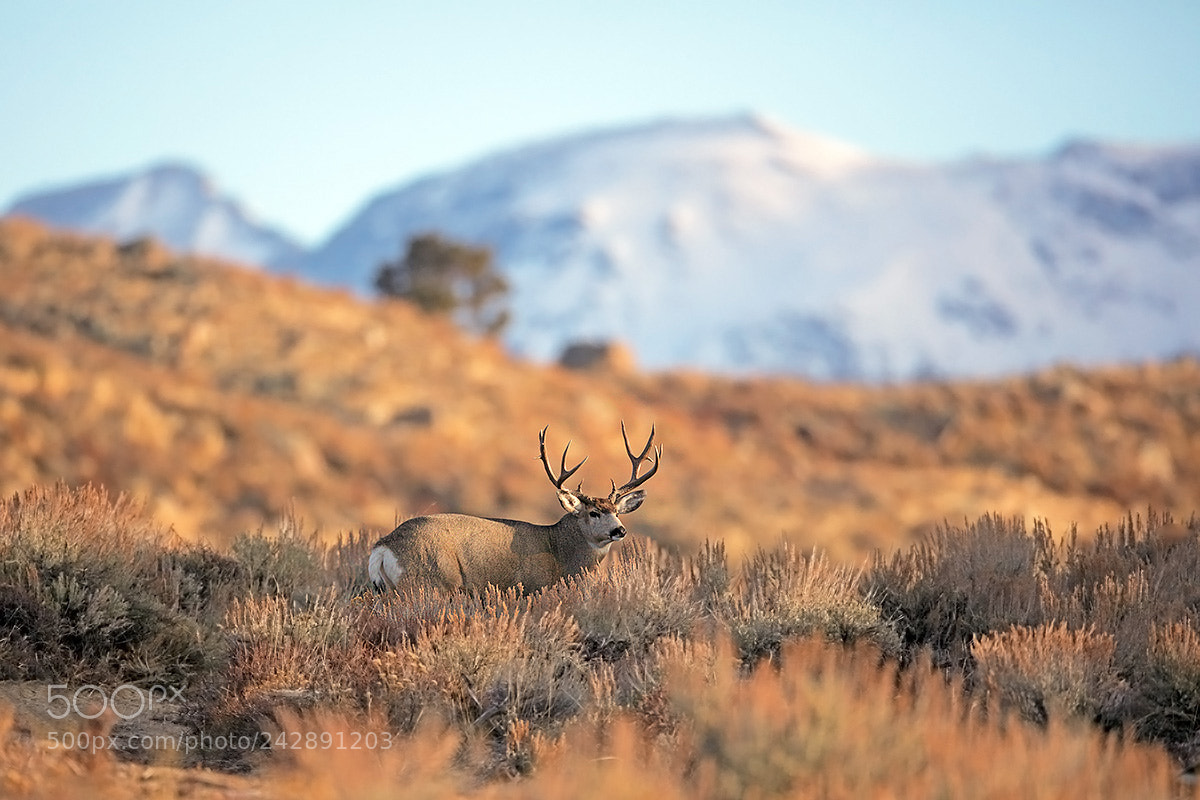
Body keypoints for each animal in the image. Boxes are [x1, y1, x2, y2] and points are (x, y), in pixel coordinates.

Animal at [368, 423, 661, 594]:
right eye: (593, 512)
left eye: (617, 511)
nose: (619, 530)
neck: (559, 552)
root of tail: (383, 546)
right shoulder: (532, 585)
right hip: (432, 579)